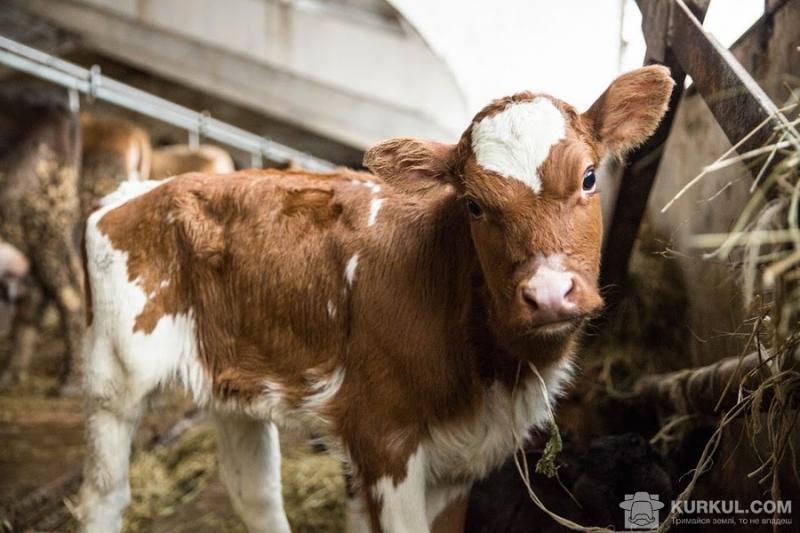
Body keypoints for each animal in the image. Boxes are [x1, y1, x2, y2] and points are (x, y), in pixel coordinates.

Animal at [76, 67, 676, 532]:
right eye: (474, 204)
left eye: (590, 177)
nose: (549, 294)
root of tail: (141, 192)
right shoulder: (382, 437)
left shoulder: (461, 462)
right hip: (116, 377)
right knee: (104, 495)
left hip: (232, 379)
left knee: (254, 491)